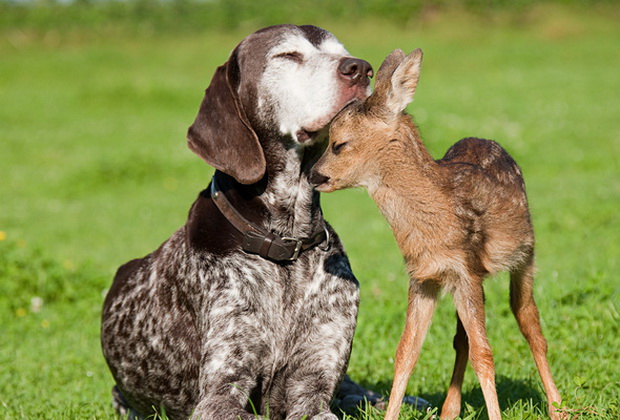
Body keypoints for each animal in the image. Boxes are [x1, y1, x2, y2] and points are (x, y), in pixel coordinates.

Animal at [101, 25, 372, 420]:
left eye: (342, 50)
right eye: (287, 55)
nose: (361, 68)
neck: (285, 244)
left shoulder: (314, 385)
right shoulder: (220, 394)